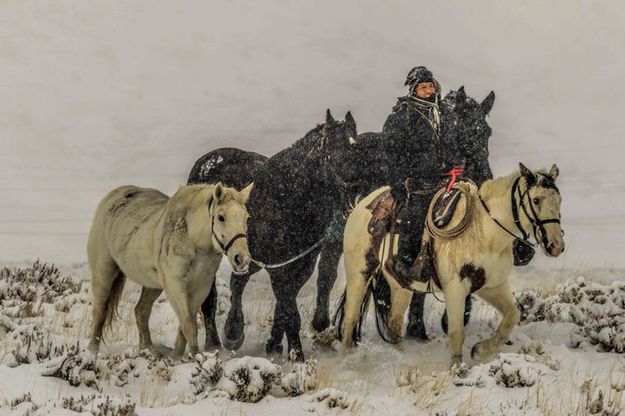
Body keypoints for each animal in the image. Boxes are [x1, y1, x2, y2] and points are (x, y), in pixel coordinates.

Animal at [88, 184, 254, 356]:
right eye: (221, 217)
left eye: (246, 217)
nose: (242, 259)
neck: (192, 240)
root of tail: (114, 196)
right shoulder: (175, 285)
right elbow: (189, 324)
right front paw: (196, 356)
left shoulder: (200, 288)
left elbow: (185, 324)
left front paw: (176, 356)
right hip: (104, 274)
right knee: (100, 312)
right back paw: (92, 352)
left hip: (152, 285)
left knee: (141, 311)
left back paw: (148, 349)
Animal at [338, 164, 564, 366]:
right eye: (536, 199)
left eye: (559, 200)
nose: (555, 245)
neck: (485, 232)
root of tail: (360, 205)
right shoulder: (455, 287)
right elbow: (457, 331)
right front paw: (457, 369)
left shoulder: (491, 285)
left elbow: (512, 315)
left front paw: (480, 350)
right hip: (360, 274)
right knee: (350, 317)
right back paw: (346, 358)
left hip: (401, 285)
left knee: (393, 321)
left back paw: (400, 357)